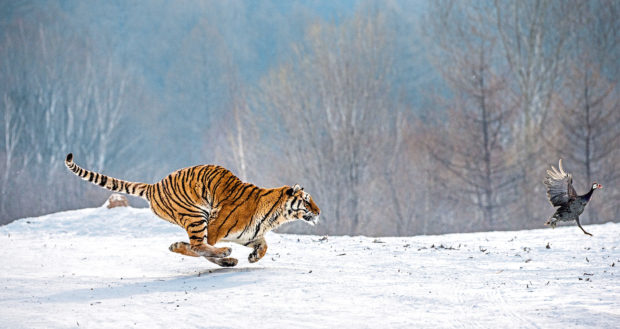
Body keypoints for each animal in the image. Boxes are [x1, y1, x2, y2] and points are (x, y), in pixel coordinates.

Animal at [65, 152, 322, 266]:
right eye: (307, 200)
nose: (319, 211)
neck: (275, 217)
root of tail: (154, 185)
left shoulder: (248, 235)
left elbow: (265, 245)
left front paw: (253, 257)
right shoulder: (216, 229)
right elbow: (201, 248)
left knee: (197, 247)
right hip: (197, 215)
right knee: (198, 245)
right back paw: (224, 254)